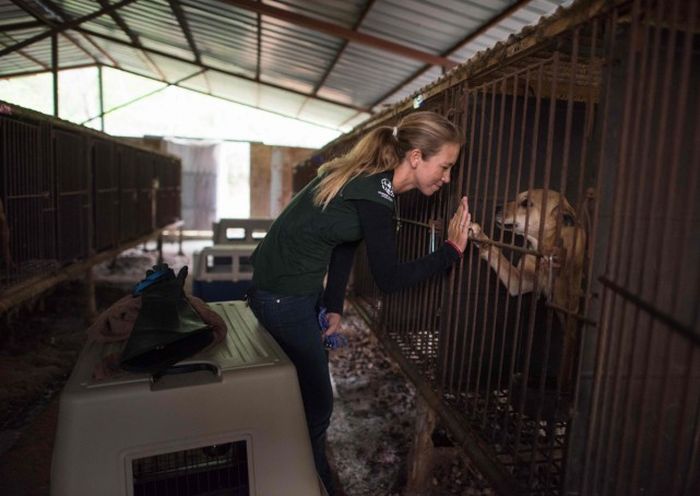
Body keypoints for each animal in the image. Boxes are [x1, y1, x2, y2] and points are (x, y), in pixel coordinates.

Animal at [470, 189, 584, 388]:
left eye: (526, 203)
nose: (497, 207)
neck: (545, 253)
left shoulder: (570, 311)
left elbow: (568, 350)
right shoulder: (518, 282)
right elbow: (496, 253)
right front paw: (481, 237)